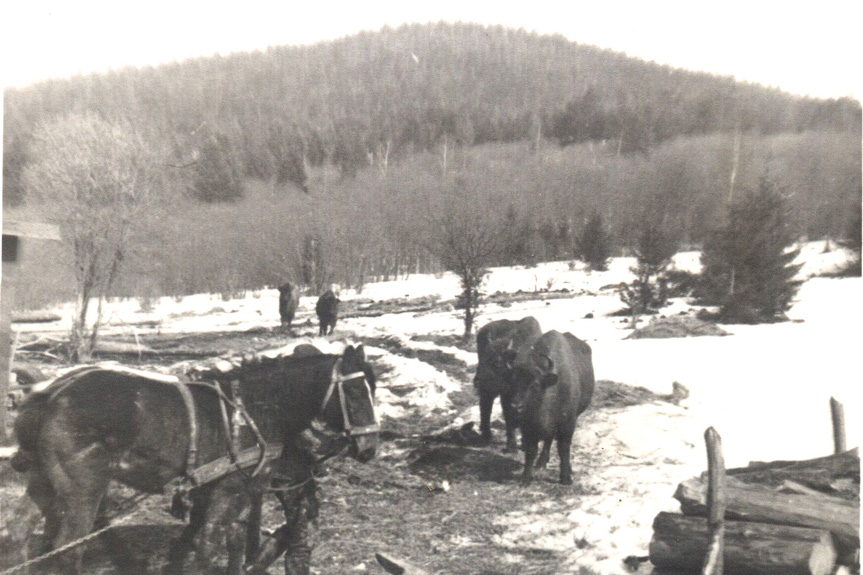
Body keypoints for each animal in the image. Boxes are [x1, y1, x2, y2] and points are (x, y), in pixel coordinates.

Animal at [8, 344, 376, 572]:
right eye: (355, 391)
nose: (370, 448)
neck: (255, 408)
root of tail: (50, 392)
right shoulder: (229, 490)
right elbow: (207, 547)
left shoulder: (228, 492)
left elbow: (227, 544)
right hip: (83, 491)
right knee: (68, 549)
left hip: (44, 481)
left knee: (18, 533)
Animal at [476, 318, 544, 452]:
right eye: (482, 358)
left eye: (497, 363)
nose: (477, 382)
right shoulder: (507, 396)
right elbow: (509, 418)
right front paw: (512, 446)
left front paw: (524, 444)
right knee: (486, 409)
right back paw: (486, 436)